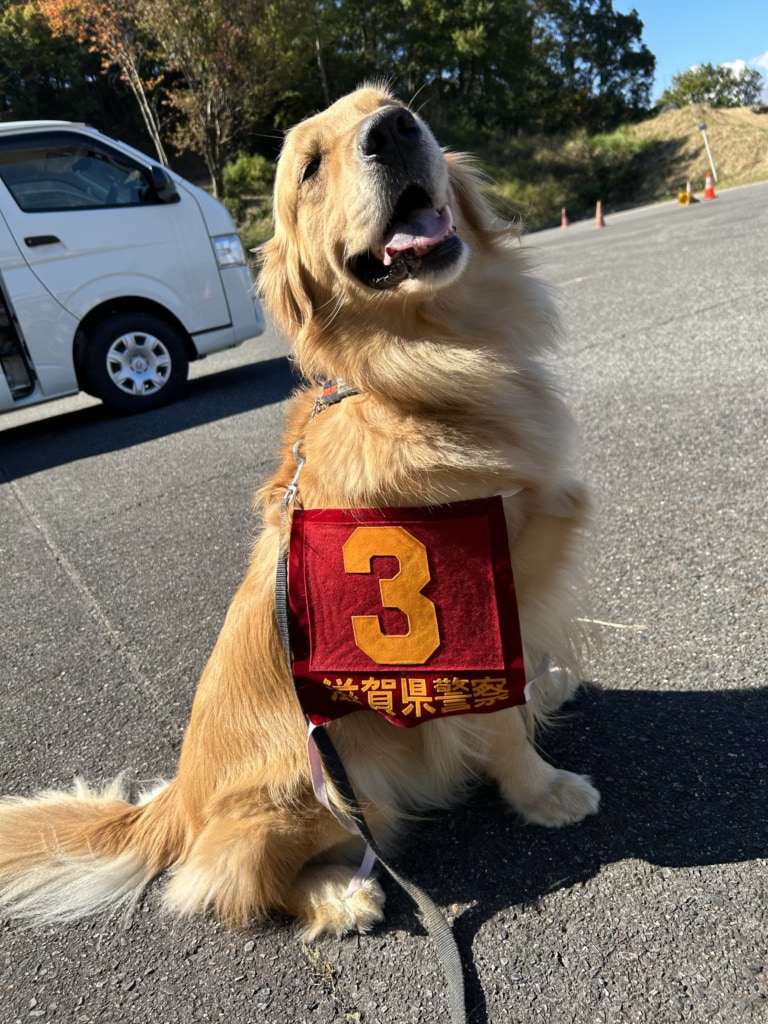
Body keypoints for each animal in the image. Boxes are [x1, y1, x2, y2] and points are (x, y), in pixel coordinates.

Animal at [0, 86, 602, 937]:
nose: (394, 130)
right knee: (230, 883)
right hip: (318, 787)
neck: (415, 379)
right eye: (311, 167)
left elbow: (523, 674)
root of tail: (175, 804)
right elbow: (500, 724)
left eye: (391, 104)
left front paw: (545, 690)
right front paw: (543, 791)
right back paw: (340, 896)